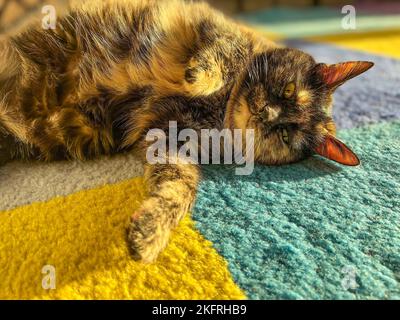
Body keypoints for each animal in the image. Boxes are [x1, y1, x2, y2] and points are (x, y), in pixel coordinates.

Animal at [1, 0, 374, 262]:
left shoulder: (169, 142)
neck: (220, 110)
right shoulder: (209, 23)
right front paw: (198, 77)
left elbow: (179, 189)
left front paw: (149, 232)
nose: (265, 114)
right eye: (288, 90)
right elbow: (224, 52)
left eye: (284, 133)